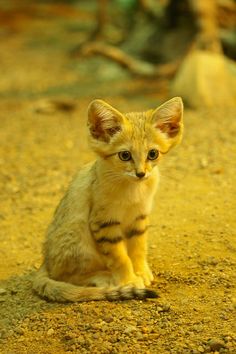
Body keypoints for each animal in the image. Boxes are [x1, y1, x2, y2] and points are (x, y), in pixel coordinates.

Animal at [33, 96, 183, 302]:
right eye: (125, 155)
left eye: (153, 154)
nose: (141, 173)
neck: (133, 189)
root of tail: (44, 263)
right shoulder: (104, 223)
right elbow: (120, 257)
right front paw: (129, 281)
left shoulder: (139, 219)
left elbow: (138, 249)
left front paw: (140, 272)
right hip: (78, 236)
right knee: (68, 276)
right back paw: (105, 277)